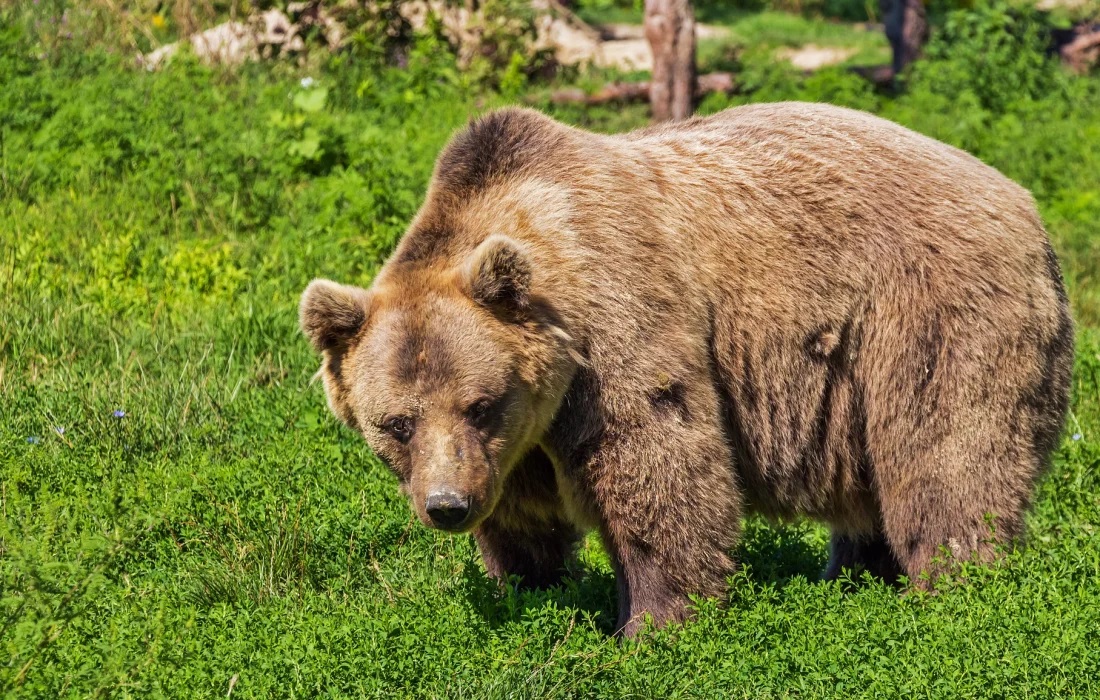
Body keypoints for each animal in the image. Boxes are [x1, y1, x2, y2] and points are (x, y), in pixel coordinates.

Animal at [301, 102, 1073, 633]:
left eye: (479, 403)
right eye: (396, 423)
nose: (447, 506)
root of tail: (1026, 205)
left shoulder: (615, 326)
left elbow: (659, 464)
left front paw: (652, 624)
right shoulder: (517, 441)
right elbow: (523, 518)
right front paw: (529, 588)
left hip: (928, 315)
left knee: (946, 457)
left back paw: (953, 589)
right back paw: (853, 577)